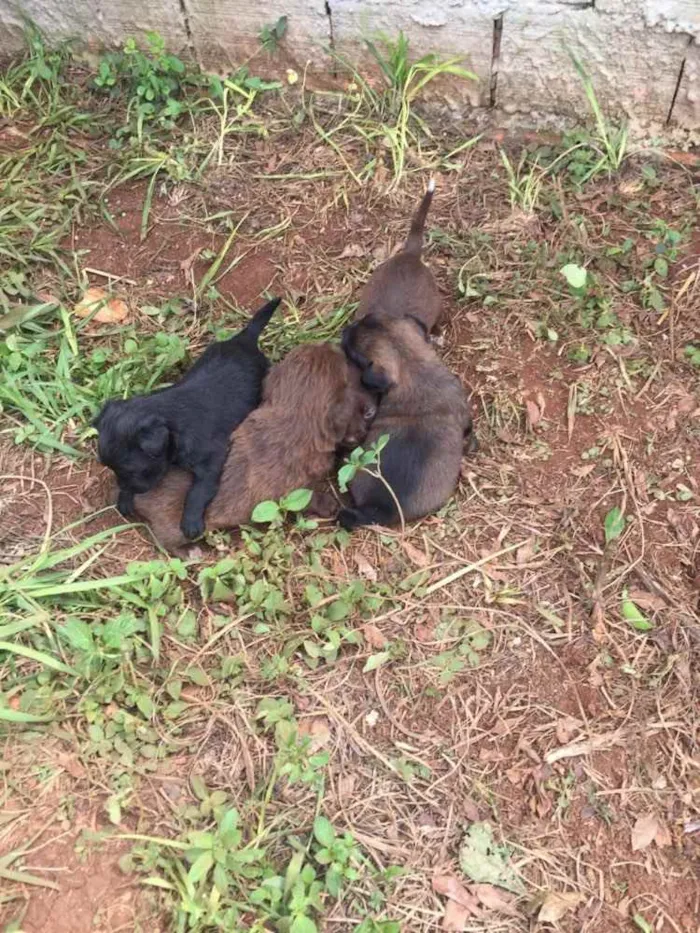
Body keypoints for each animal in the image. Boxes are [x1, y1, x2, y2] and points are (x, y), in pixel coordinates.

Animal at [95, 292, 282, 540]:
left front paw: (190, 522)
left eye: (134, 470)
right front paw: (124, 498)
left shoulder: (211, 461)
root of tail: (245, 338)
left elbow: (197, 492)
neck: (173, 425)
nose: (126, 488)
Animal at [133, 344, 374, 552]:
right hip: (175, 528)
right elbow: (309, 498)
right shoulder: (293, 489)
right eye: (342, 369)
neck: (295, 417)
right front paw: (329, 504)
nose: (330, 344)